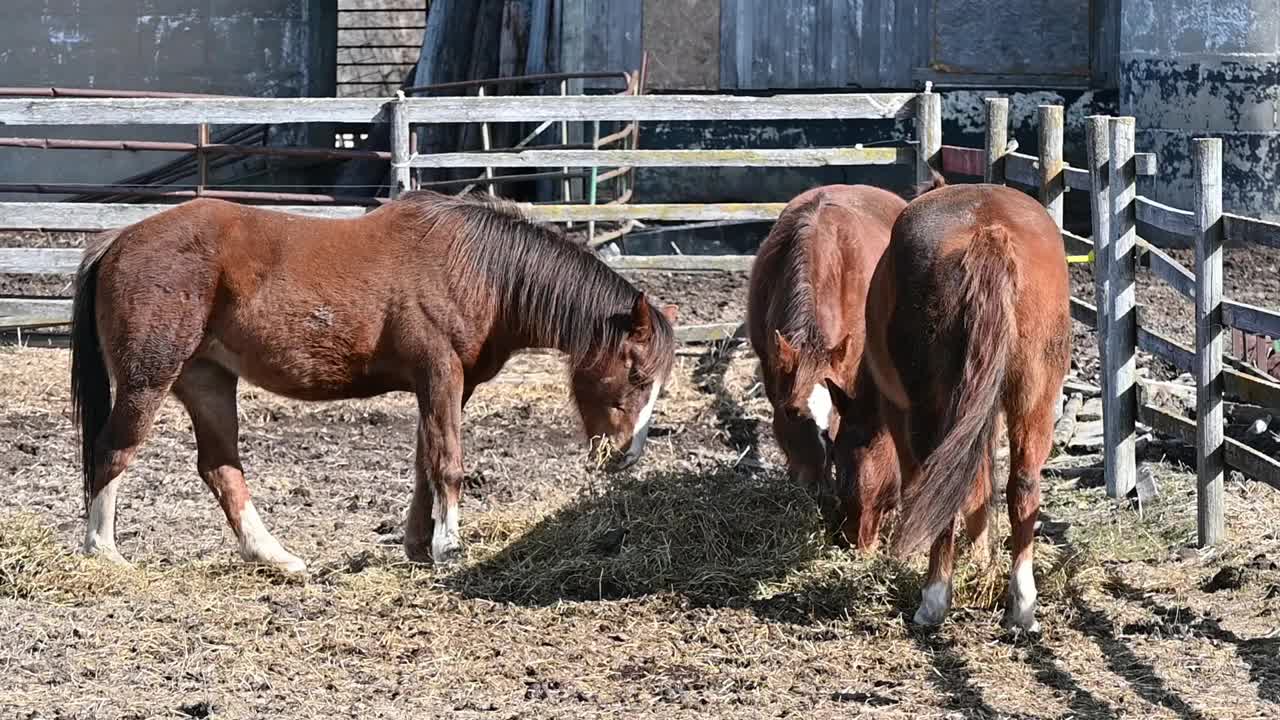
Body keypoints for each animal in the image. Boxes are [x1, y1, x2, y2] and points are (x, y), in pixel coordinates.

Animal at [67, 190, 680, 571]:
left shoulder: (445, 386)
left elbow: (425, 462)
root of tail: (116, 240)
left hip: (207, 380)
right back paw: (103, 550)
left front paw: (420, 545)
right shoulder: (440, 373)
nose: (625, 456)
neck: (478, 269)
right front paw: (449, 547)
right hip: (150, 378)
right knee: (113, 450)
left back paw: (275, 557)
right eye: (636, 373)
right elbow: (448, 463)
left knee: (220, 469)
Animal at [829, 179, 1070, 627]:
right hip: (1034, 399)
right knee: (1023, 485)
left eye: (838, 456)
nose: (849, 538)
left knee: (936, 483)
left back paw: (933, 599)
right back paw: (1022, 604)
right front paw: (982, 556)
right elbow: (979, 483)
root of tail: (989, 232)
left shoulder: (899, 412)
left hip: (930, 408)